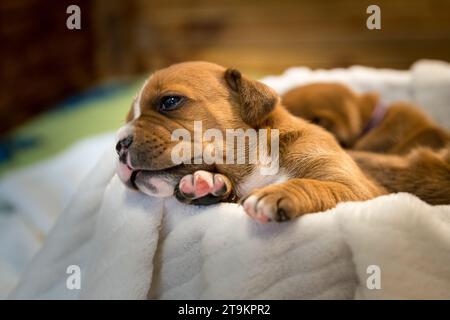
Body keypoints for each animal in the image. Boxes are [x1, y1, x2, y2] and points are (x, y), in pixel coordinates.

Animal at [115, 62, 384, 222]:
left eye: (170, 101)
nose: (118, 146)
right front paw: (205, 184)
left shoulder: (360, 190)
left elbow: (316, 185)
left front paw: (276, 194)